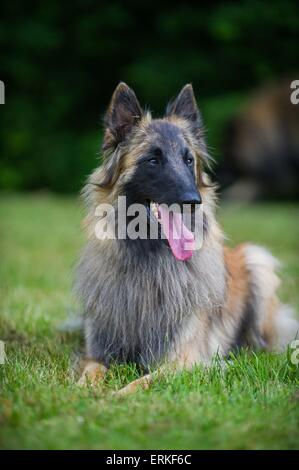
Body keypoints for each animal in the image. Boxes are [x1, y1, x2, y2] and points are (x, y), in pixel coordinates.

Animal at [74, 82, 298, 394]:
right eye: (153, 160)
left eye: (188, 160)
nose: (193, 201)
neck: (149, 261)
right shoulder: (97, 352)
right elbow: (89, 374)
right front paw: (82, 394)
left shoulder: (183, 361)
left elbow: (140, 383)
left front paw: (113, 396)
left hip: (257, 261)